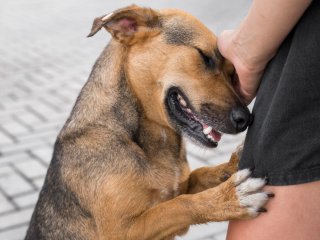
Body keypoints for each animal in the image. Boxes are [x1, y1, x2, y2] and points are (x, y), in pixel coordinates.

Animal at [25, 4, 272, 240]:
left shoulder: (181, 185)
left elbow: (200, 174)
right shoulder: (122, 231)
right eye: (204, 56)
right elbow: (177, 206)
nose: (246, 119)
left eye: (232, 73)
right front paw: (228, 198)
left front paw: (230, 166)